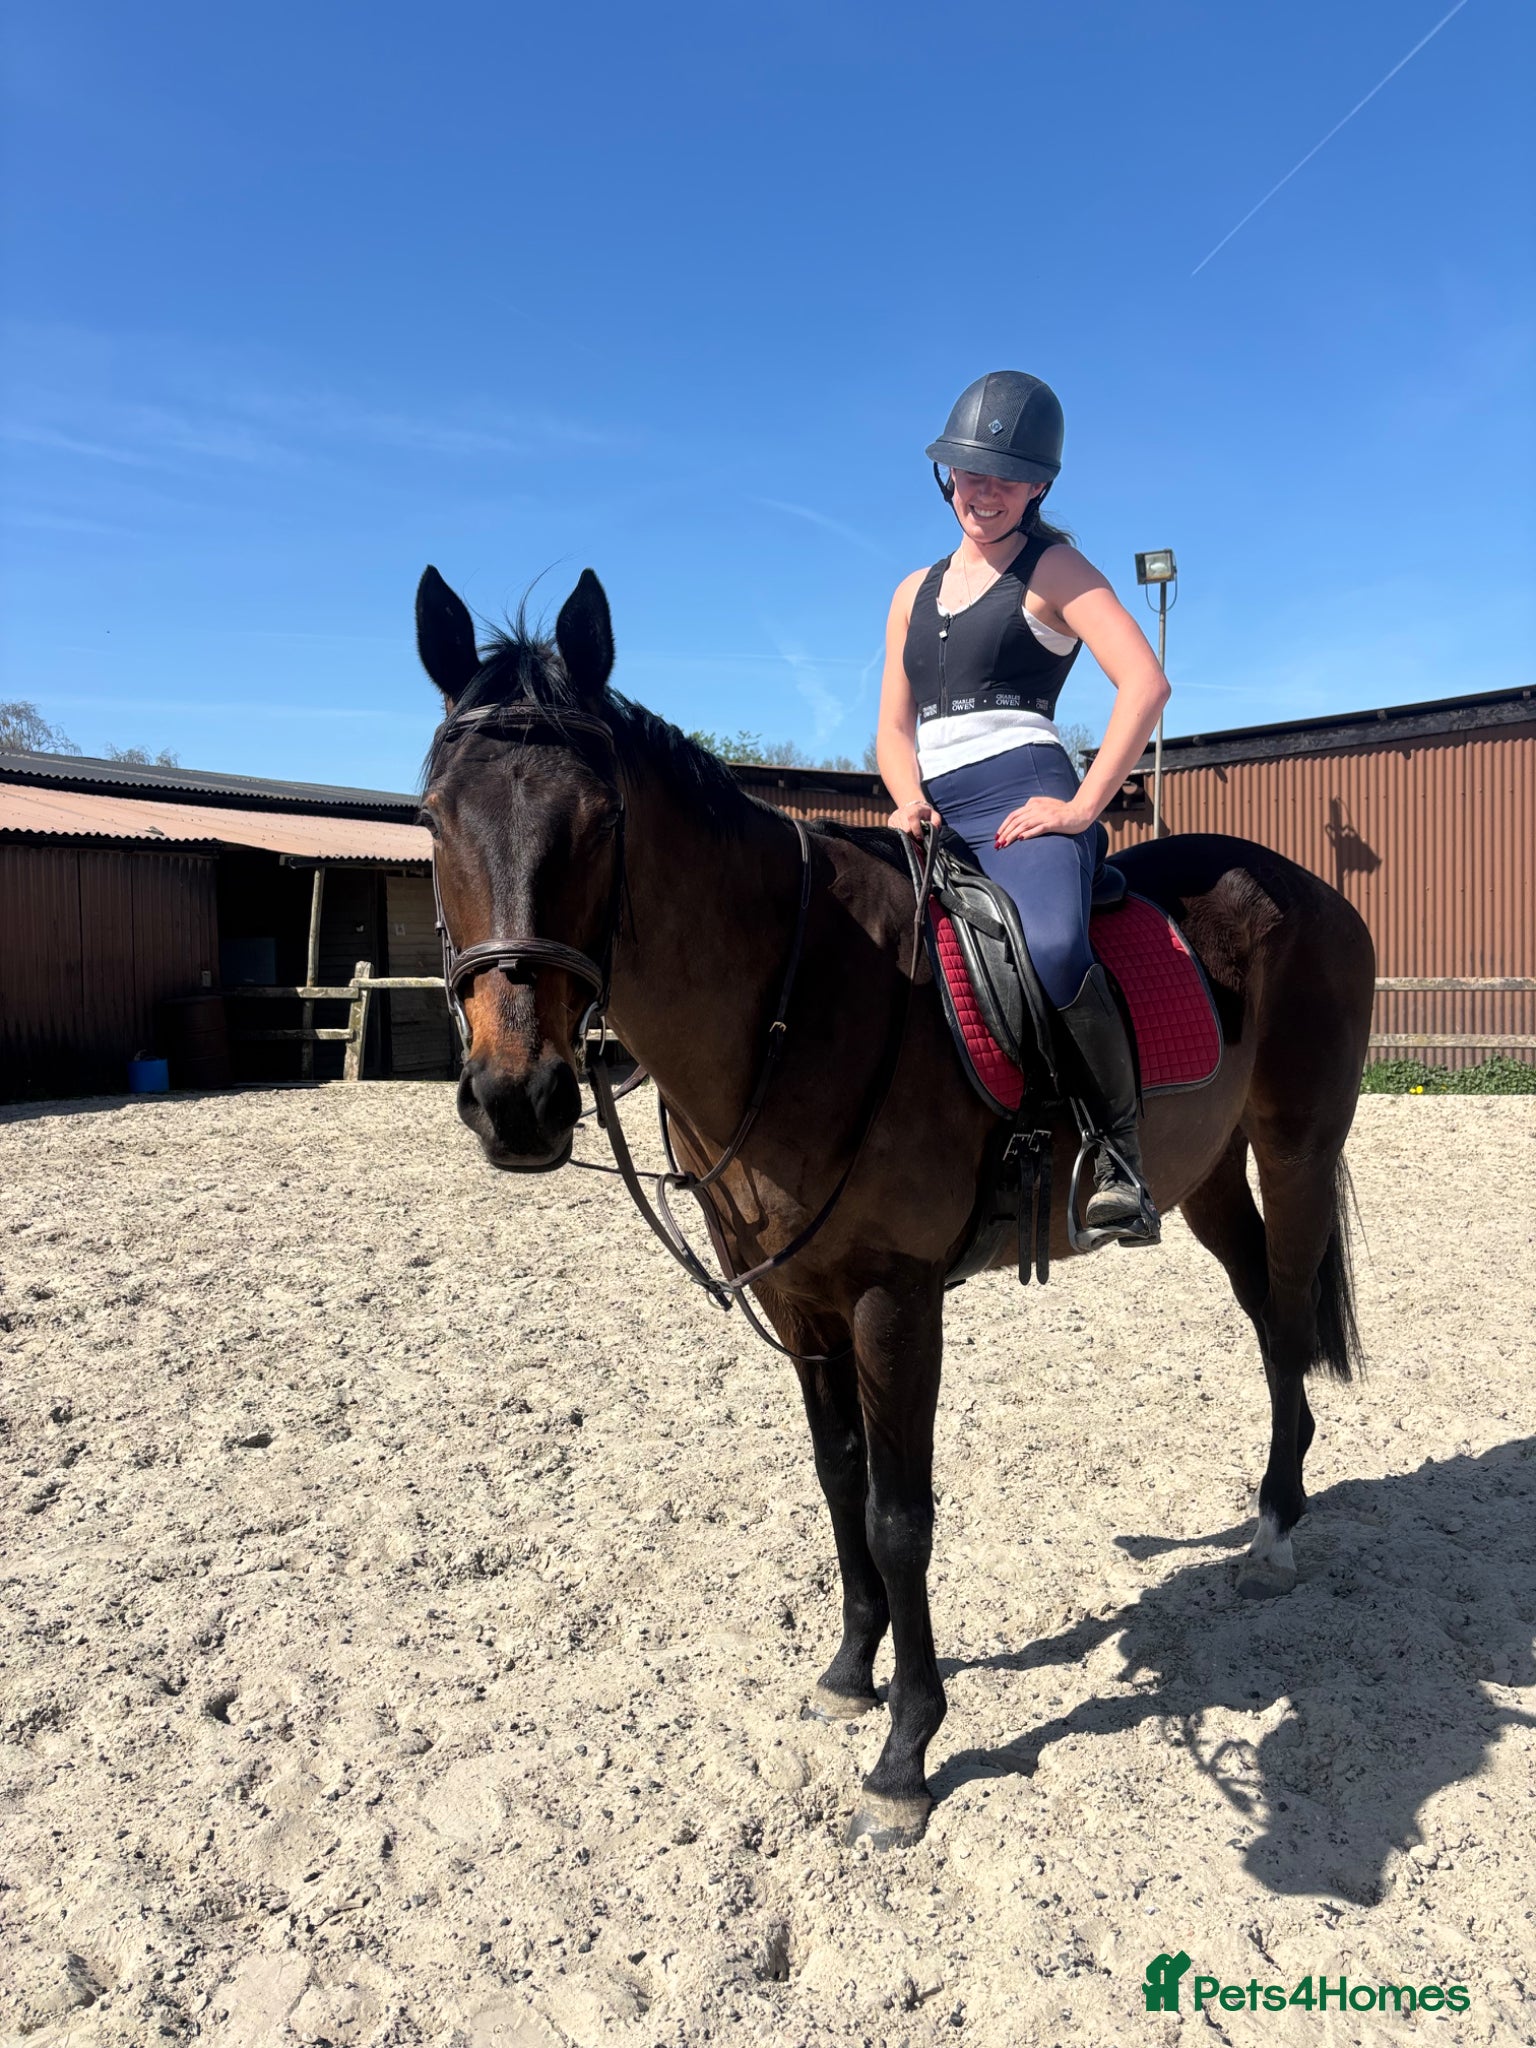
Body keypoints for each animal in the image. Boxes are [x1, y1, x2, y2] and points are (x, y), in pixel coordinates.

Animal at [415, 562, 1375, 1850]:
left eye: (603, 821)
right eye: (431, 816)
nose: (517, 1100)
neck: (804, 995)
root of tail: (1311, 888)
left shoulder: (892, 1298)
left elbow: (897, 1510)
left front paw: (908, 1750)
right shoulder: (799, 1300)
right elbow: (837, 1482)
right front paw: (846, 1671)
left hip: (1298, 1146)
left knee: (1289, 1314)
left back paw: (1278, 1527)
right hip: (1211, 1174)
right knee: (1270, 1316)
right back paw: (1270, 1513)